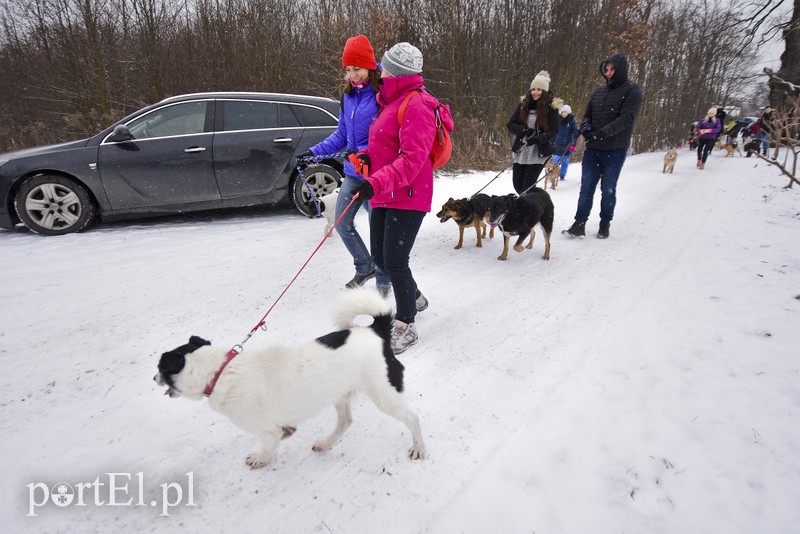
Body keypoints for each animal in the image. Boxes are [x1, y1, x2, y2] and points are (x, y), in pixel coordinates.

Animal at [152, 292, 424, 472]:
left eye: (159, 368)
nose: (153, 378)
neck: (220, 371)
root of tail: (375, 331)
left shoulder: (267, 431)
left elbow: (269, 447)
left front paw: (259, 459)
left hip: (384, 394)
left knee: (413, 418)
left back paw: (419, 448)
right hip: (338, 393)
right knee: (345, 422)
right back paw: (325, 444)